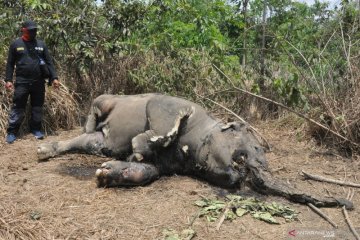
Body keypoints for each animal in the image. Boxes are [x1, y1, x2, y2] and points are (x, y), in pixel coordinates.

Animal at [38, 93, 352, 209]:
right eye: (247, 155)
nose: (243, 176)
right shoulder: (170, 105)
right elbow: (162, 122)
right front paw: (139, 146)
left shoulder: (168, 165)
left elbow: (147, 171)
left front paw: (109, 172)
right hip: (107, 100)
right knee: (95, 109)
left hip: (97, 140)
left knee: (89, 141)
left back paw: (46, 149)